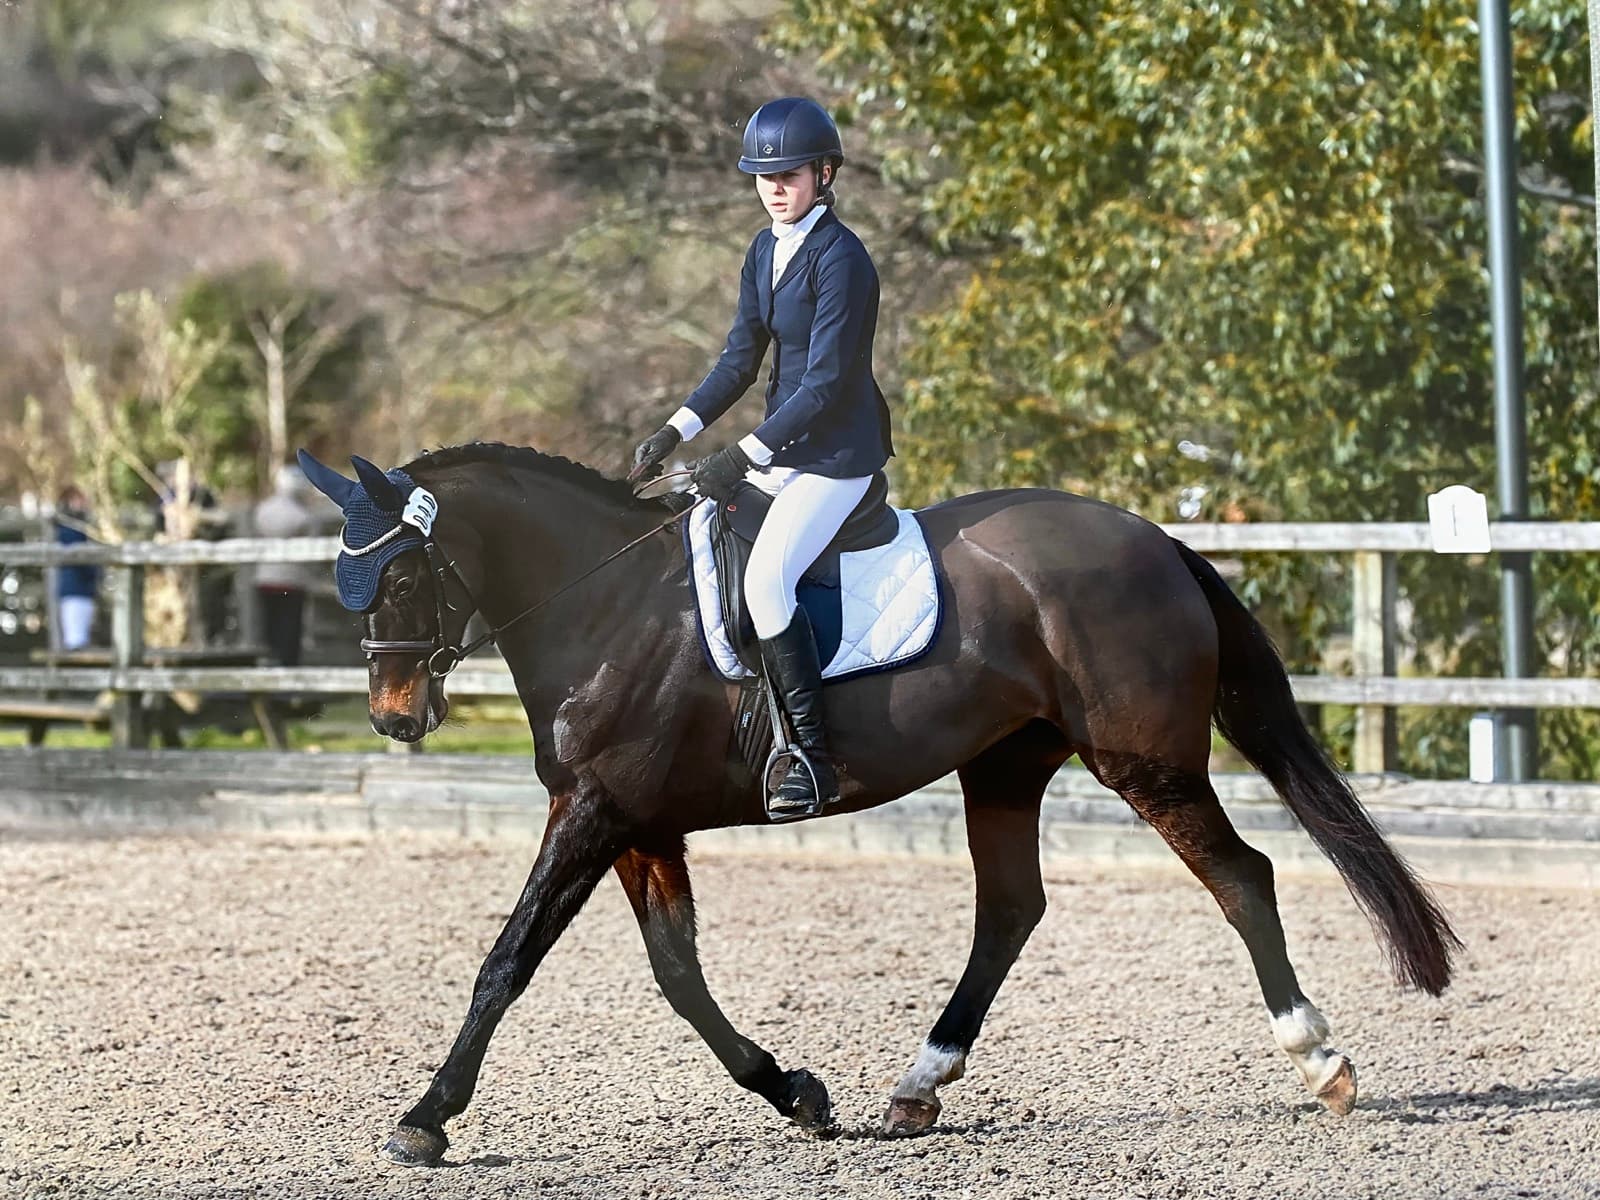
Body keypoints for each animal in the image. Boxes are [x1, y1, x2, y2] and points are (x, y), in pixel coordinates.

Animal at [298, 442, 1458, 1166]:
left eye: (401, 579)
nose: (395, 716)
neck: (604, 603)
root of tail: (1155, 539)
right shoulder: (639, 828)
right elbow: (678, 978)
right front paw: (795, 1093)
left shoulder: (592, 816)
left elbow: (506, 963)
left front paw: (424, 1119)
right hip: (1004, 767)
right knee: (1011, 910)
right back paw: (918, 1085)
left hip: (1142, 764)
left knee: (1237, 876)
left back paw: (1321, 1060)